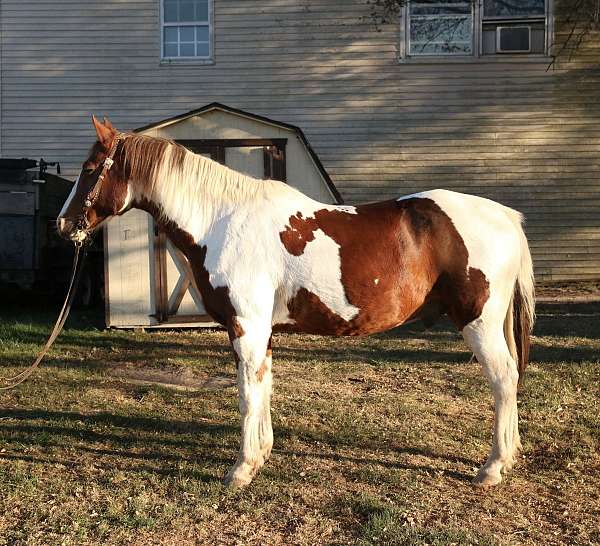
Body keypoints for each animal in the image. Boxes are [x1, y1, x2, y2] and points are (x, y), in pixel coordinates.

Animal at [56, 115, 536, 484]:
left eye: (90, 166)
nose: (63, 225)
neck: (222, 220)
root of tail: (505, 216)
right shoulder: (261, 330)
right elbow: (262, 387)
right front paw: (261, 454)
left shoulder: (245, 326)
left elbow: (247, 393)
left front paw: (241, 470)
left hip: (479, 323)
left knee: (503, 380)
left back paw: (492, 468)